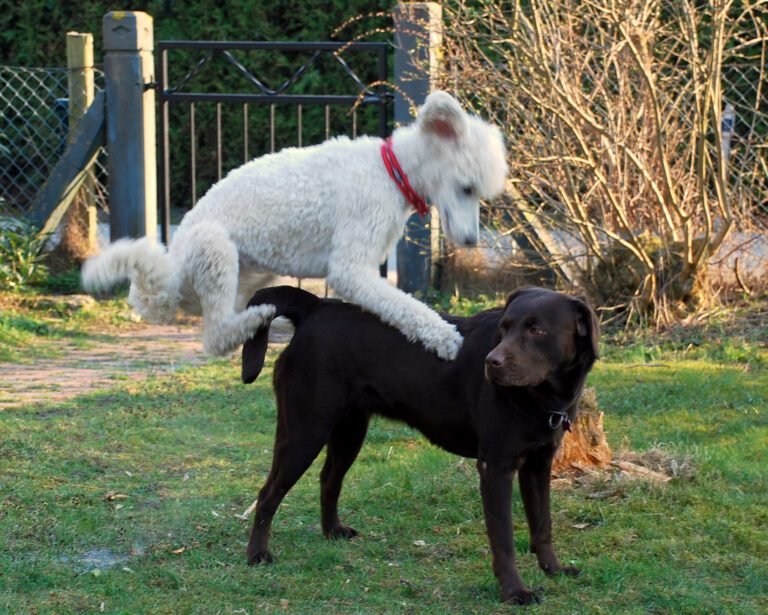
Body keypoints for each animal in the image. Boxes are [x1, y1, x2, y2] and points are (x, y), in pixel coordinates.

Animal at [82, 91, 504, 360]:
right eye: (466, 188)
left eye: (478, 194)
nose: (471, 240)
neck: (390, 171)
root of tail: (170, 280)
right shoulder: (351, 269)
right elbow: (404, 306)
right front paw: (443, 337)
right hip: (215, 247)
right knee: (215, 338)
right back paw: (257, 320)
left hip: (251, 271)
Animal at [240, 286, 600, 604]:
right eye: (504, 328)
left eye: (537, 330)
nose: (492, 362)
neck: (544, 397)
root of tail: (317, 306)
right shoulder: (495, 467)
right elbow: (504, 539)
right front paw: (514, 592)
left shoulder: (539, 465)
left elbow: (543, 525)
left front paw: (553, 570)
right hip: (304, 431)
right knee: (268, 494)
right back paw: (258, 554)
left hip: (350, 430)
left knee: (329, 479)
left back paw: (332, 532)